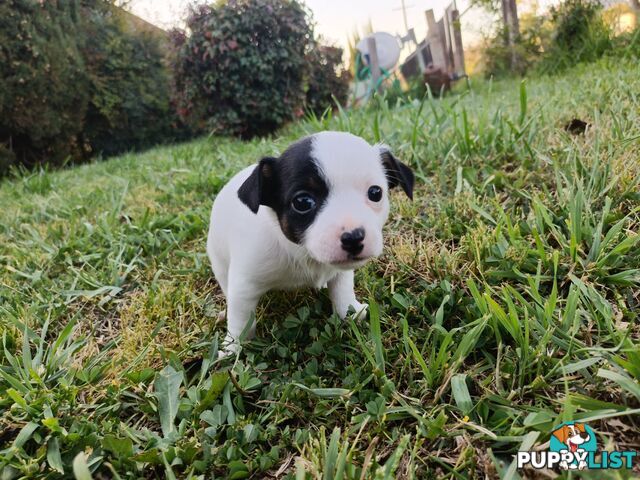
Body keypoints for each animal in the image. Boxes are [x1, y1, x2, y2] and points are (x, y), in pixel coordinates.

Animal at [208, 131, 412, 356]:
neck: (301, 252)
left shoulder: (341, 272)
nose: (354, 237)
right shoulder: (244, 287)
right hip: (218, 261)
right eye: (302, 202)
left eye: (376, 193)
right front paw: (232, 348)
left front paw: (350, 312)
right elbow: (240, 321)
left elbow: (342, 291)